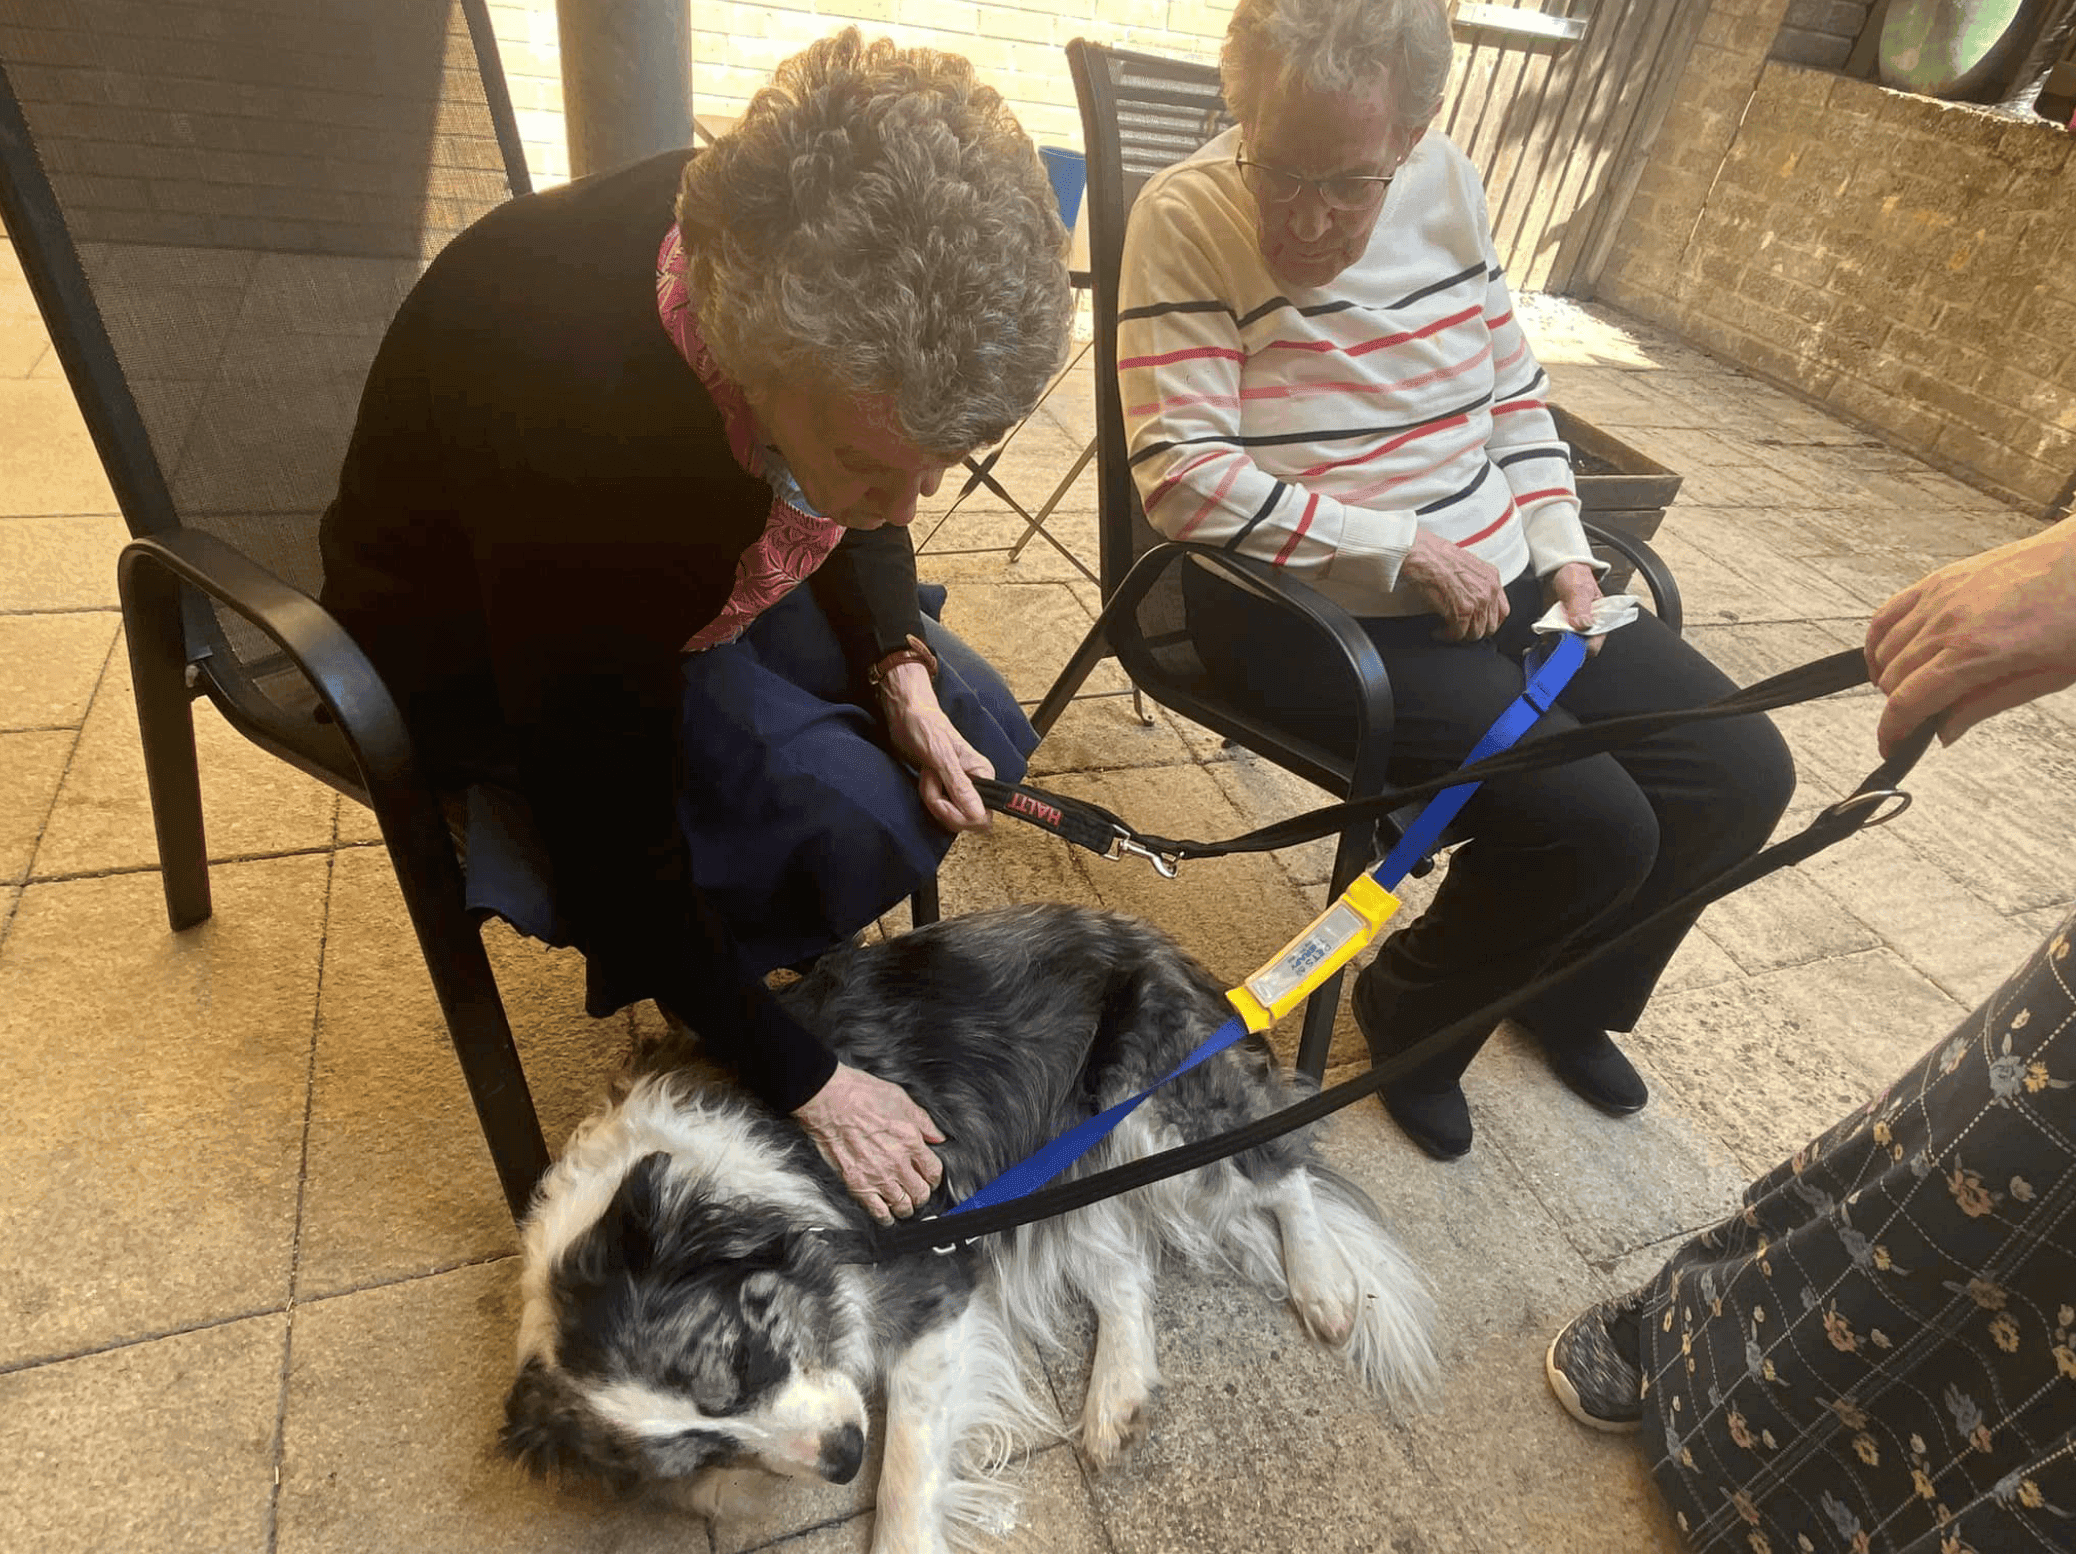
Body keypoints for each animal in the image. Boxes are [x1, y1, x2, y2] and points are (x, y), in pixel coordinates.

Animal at [504, 904, 1444, 1543]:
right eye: (705, 1453)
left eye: (741, 1359)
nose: (843, 1455)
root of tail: (1162, 944)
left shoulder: (930, 1282)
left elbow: (906, 1482)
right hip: (1062, 1162)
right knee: (1125, 1269)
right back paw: (1116, 1401)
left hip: (1151, 1108)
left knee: (1279, 1167)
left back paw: (1325, 1288)